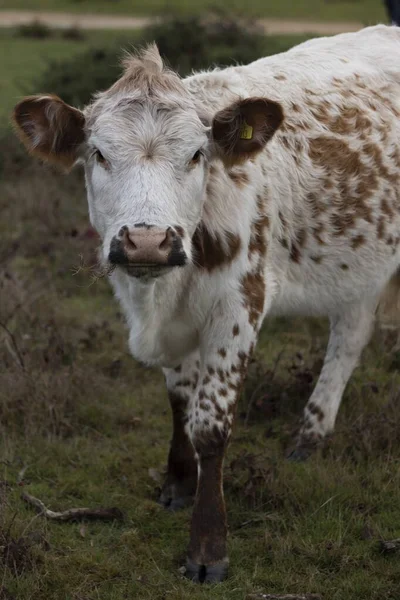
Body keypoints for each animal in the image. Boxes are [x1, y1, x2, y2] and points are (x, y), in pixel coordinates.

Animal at [11, 25, 400, 584]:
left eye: (196, 154)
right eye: (100, 154)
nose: (147, 242)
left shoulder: (238, 307)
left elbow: (211, 426)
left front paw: (208, 548)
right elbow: (180, 402)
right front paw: (177, 483)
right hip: (360, 269)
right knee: (350, 335)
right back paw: (311, 434)